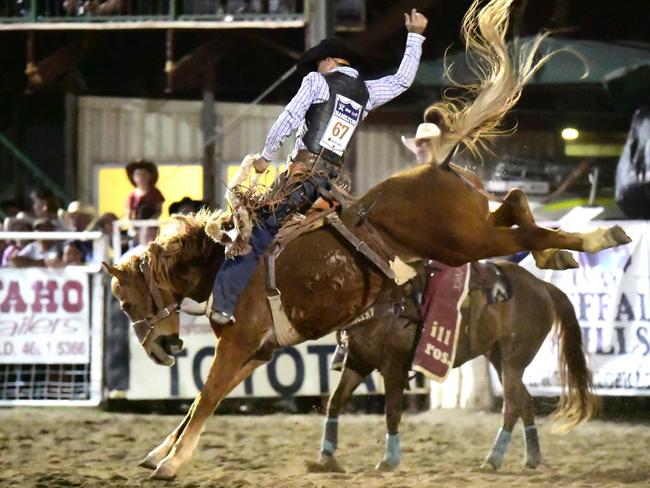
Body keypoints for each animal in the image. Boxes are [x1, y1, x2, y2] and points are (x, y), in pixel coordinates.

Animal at [306, 262, 596, 474]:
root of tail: (542, 285)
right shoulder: (358, 362)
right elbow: (335, 402)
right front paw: (326, 458)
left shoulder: (393, 365)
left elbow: (392, 412)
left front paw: (389, 459)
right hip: (498, 358)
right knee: (524, 401)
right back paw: (531, 457)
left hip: (513, 359)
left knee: (512, 405)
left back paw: (493, 459)